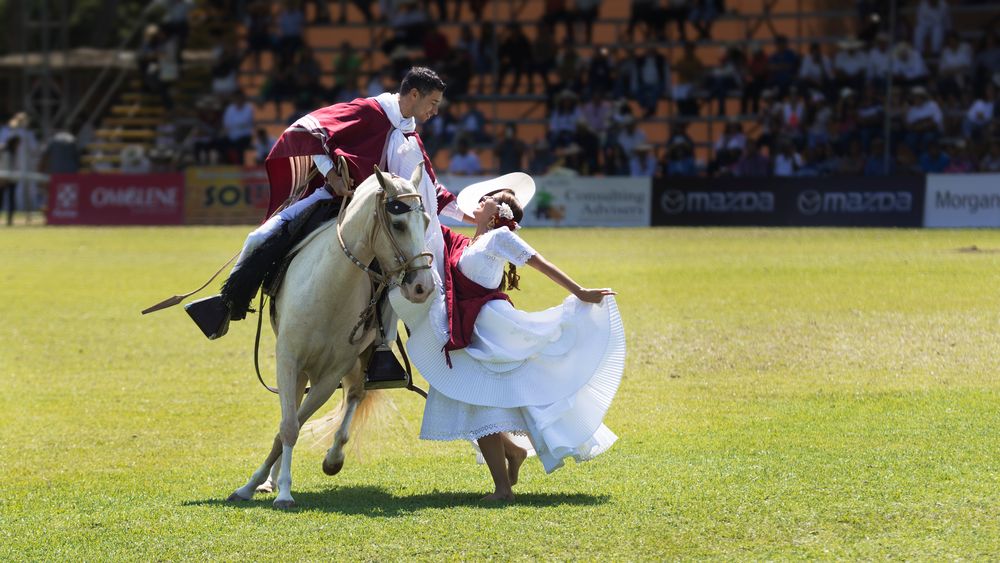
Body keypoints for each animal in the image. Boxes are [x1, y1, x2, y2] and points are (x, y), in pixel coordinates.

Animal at [229, 164, 432, 512]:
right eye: (398, 223)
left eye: (428, 221)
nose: (423, 286)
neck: (330, 288)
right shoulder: (288, 360)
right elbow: (288, 426)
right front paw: (261, 487)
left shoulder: (332, 373)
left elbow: (297, 424)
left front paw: (286, 486)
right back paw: (269, 480)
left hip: (358, 361)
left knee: (354, 396)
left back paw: (333, 457)